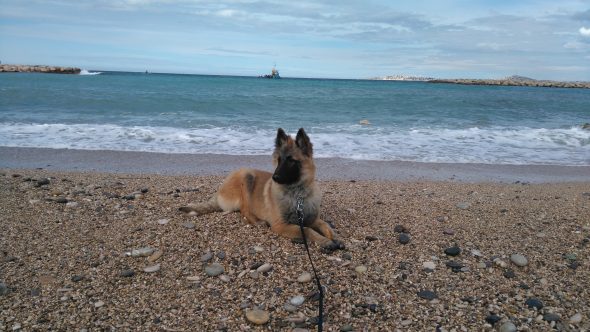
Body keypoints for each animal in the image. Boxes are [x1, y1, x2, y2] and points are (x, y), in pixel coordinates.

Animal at [180, 127, 346, 252]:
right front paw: (325, 241)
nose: (275, 177)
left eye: (291, 161)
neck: (297, 194)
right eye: (279, 160)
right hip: (246, 176)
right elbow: (307, 230)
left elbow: (325, 226)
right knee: (244, 211)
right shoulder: (280, 225)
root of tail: (220, 191)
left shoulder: (312, 219)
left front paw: (336, 237)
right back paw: (258, 221)